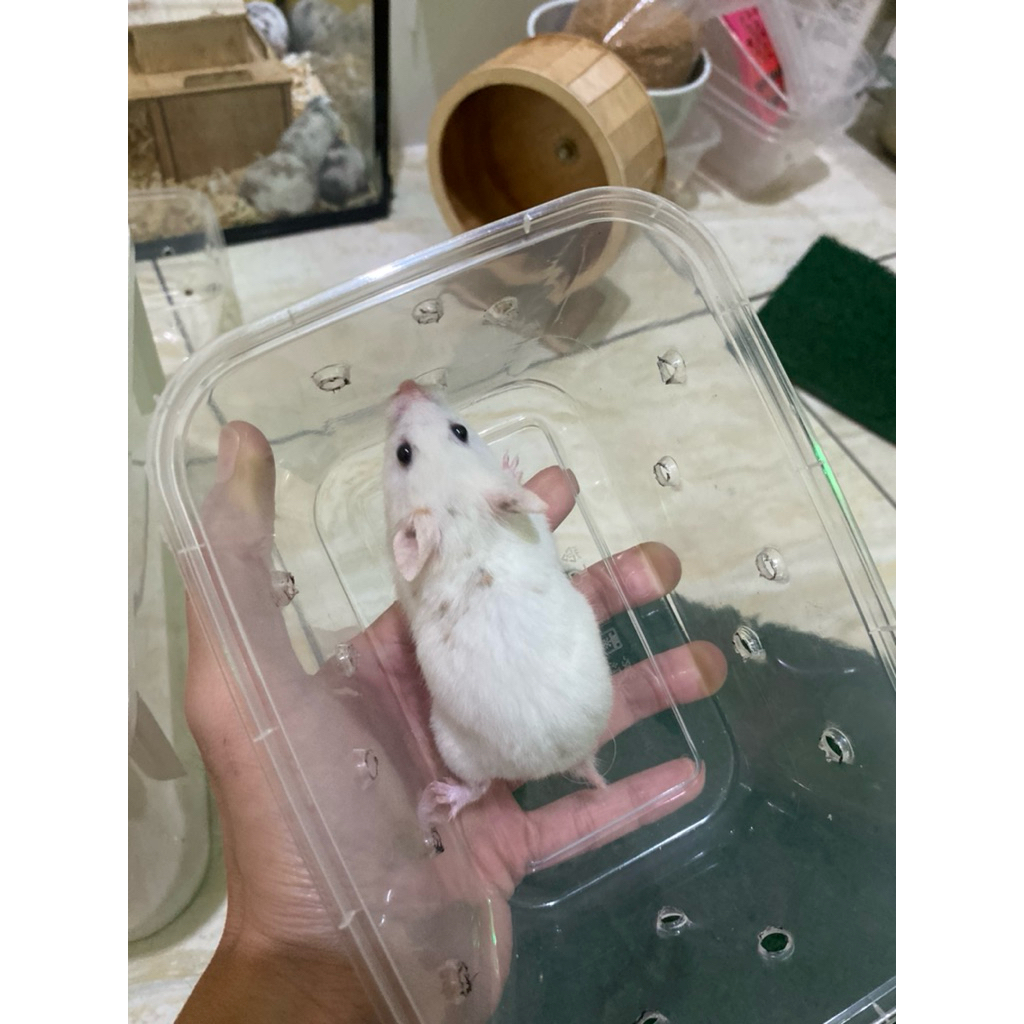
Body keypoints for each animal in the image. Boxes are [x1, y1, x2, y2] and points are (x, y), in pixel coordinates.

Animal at [382, 380, 614, 825]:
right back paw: (445, 795)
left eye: (460, 430)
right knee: (481, 787)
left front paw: (510, 463)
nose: (407, 385)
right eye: (403, 453)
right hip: (452, 742)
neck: (465, 527)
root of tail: (558, 762)